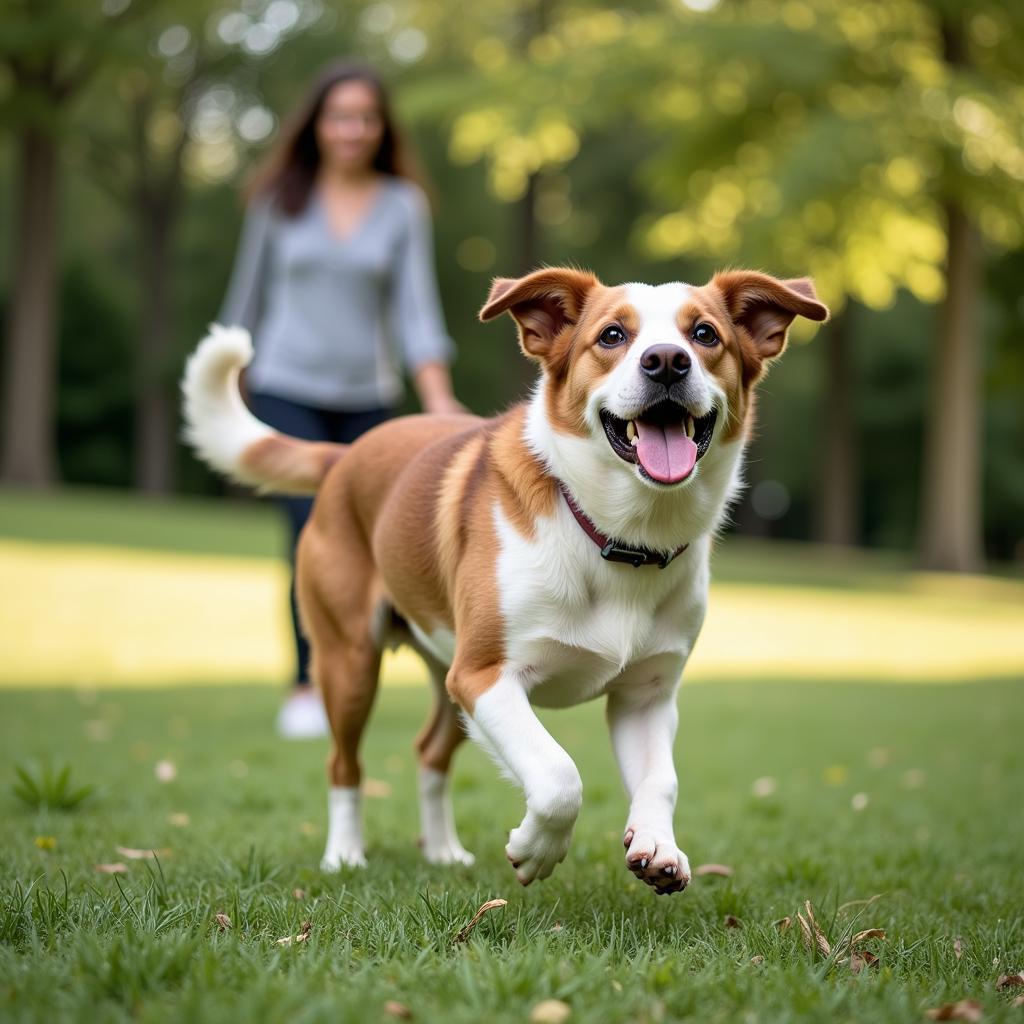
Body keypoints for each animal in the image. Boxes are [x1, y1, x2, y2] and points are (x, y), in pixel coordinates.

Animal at [180, 268, 827, 892]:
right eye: (612, 336)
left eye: (705, 335)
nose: (667, 360)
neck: (617, 538)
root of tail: (344, 455)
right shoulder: (486, 675)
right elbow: (559, 775)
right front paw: (535, 850)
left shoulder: (644, 695)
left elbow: (660, 780)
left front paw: (657, 846)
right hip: (354, 661)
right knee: (344, 765)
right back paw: (344, 856)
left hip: (447, 675)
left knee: (430, 753)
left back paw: (442, 851)